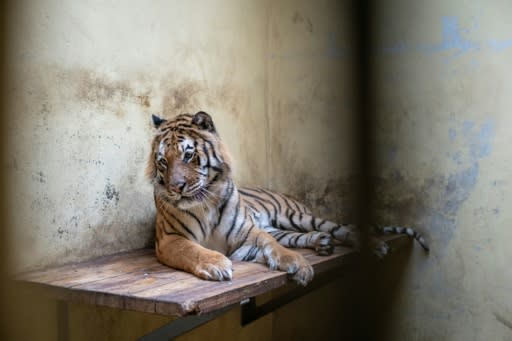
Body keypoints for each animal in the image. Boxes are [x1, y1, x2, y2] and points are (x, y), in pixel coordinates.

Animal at [146, 111, 430, 284]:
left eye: (188, 155)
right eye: (163, 162)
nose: (176, 187)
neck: (206, 202)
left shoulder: (247, 232)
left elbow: (272, 244)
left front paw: (298, 264)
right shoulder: (171, 239)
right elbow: (193, 249)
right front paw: (216, 264)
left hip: (297, 216)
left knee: (340, 229)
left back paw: (372, 245)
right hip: (284, 225)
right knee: (299, 236)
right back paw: (322, 243)